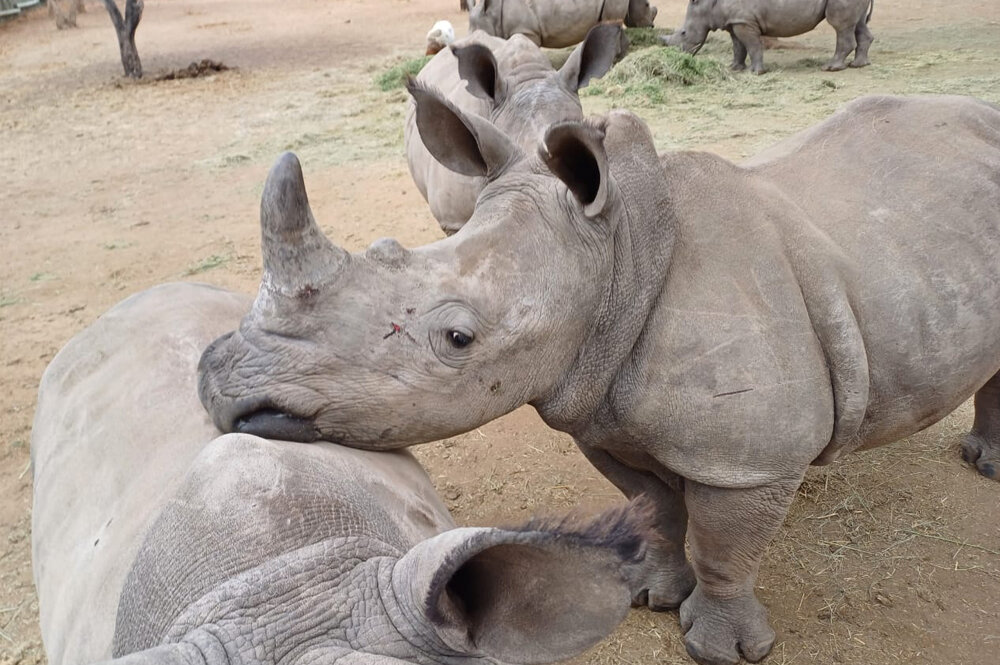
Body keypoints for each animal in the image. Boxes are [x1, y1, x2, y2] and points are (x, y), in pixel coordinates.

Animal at [198, 93, 1000, 664]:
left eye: (457, 338)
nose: (217, 383)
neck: (620, 254)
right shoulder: (598, 407)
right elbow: (657, 507)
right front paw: (648, 594)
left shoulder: (748, 459)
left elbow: (724, 545)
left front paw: (720, 649)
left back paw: (984, 468)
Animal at [668, 0, 874, 74]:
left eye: (683, 33)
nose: (680, 55)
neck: (709, 4)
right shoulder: (736, 21)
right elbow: (738, 47)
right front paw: (734, 68)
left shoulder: (745, 22)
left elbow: (752, 46)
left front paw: (756, 72)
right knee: (858, 24)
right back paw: (858, 65)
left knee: (840, 26)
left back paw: (831, 68)